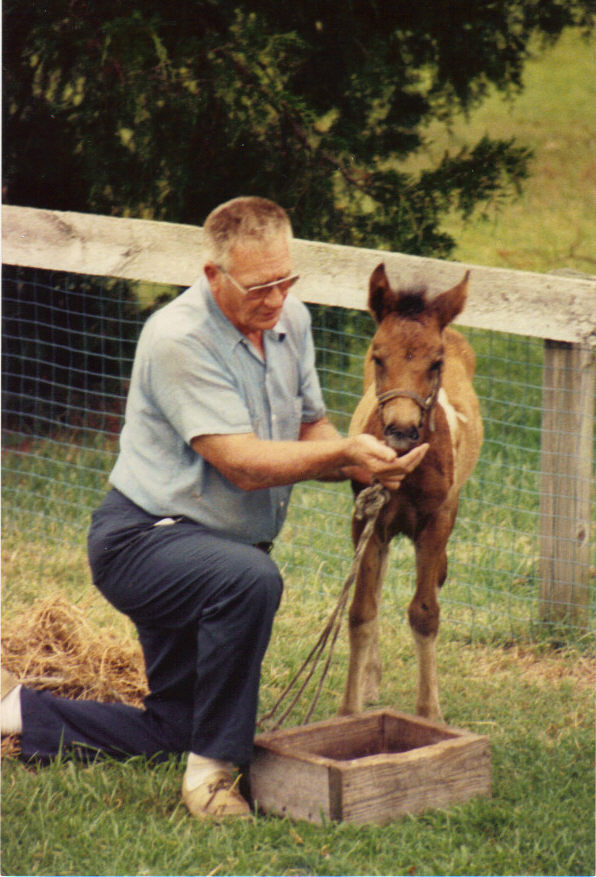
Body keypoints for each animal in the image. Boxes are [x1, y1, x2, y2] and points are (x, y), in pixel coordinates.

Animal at [339, 263, 483, 722]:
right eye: (377, 355)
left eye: (436, 362)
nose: (401, 431)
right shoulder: (366, 517)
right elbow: (361, 610)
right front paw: (348, 711)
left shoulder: (436, 522)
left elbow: (424, 613)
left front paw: (429, 713)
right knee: (378, 584)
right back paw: (370, 681)